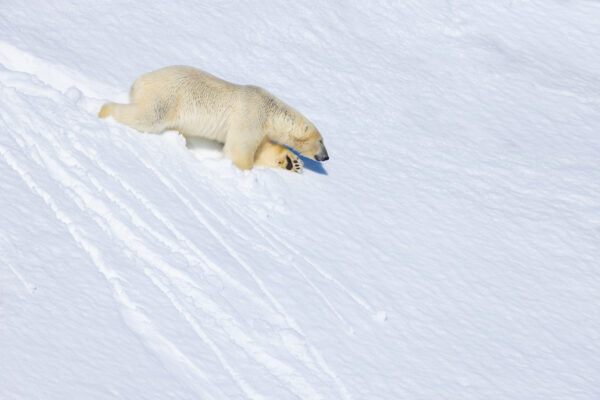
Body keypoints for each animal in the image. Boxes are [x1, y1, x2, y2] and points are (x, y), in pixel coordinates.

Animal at [100, 65, 330, 172]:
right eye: (321, 141)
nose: (326, 157)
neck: (270, 110)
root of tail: (138, 81)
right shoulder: (250, 115)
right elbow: (238, 151)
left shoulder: (260, 128)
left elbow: (262, 149)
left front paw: (292, 162)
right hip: (168, 97)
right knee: (147, 116)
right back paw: (104, 111)